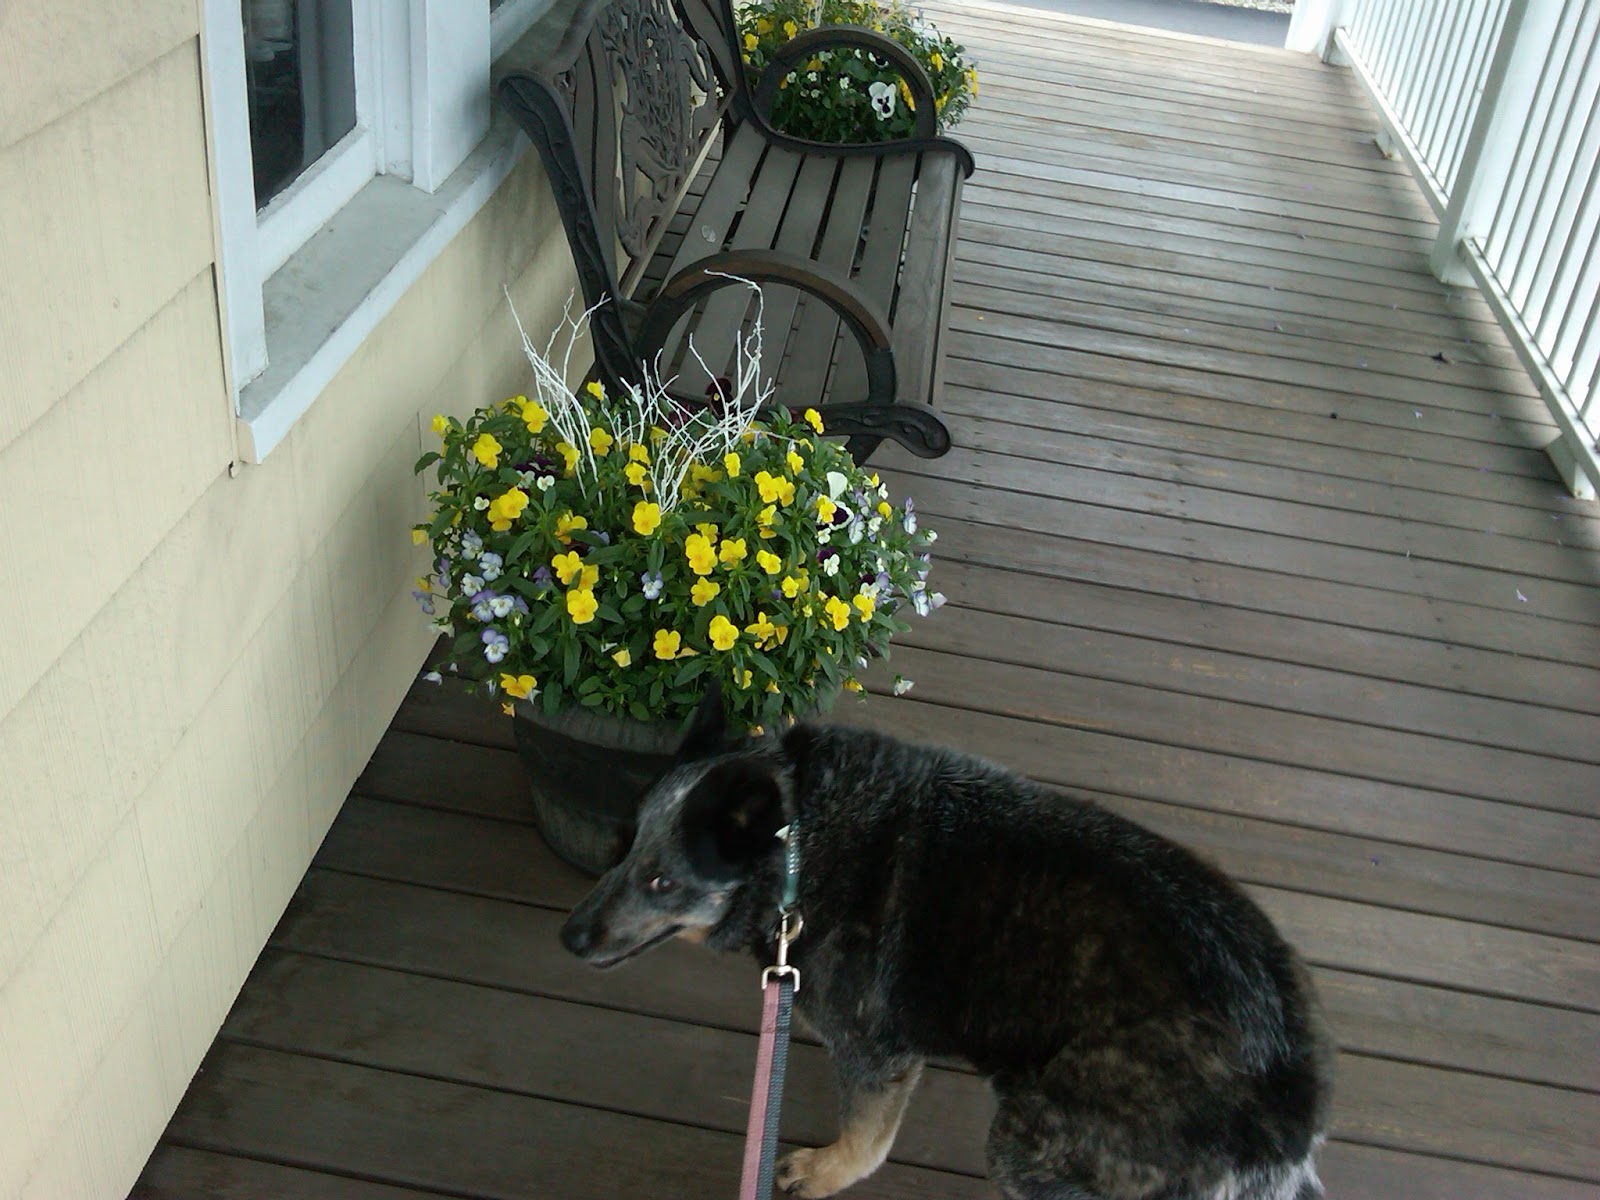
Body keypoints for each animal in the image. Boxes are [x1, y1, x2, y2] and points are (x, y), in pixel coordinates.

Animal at [560, 690, 1334, 1199]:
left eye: (661, 880)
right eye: (619, 846)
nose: (568, 936)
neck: (798, 847)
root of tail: (1288, 1088)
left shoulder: (877, 1054)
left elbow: (865, 1140)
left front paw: (826, 1171)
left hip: (1026, 1141)